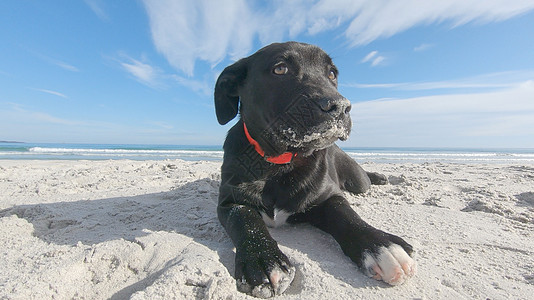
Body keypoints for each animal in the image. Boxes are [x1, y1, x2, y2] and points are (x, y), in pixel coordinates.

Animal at [216, 41, 416, 298]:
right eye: (280, 69)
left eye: (332, 73)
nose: (340, 107)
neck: (279, 163)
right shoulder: (229, 201)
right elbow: (244, 219)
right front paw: (264, 260)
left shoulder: (328, 196)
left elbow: (347, 215)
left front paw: (382, 246)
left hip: (358, 181)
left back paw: (379, 177)